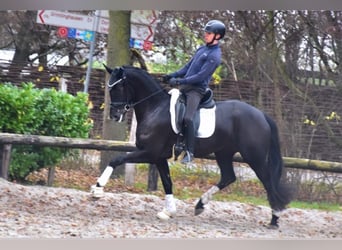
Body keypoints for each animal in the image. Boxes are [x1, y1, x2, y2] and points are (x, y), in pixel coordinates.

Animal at [92, 65, 292, 229]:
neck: (155, 108)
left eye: (118, 87)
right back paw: (200, 205)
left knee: (268, 181)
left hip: (254, 157)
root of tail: (262, 115)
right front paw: (168, 211)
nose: (114, 115)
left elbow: (116, 159)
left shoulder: (149, 153)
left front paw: (97, 189)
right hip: (224, 153)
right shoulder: (159, 157)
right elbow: (167, 182)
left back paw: (274, 219)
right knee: (228, 177)